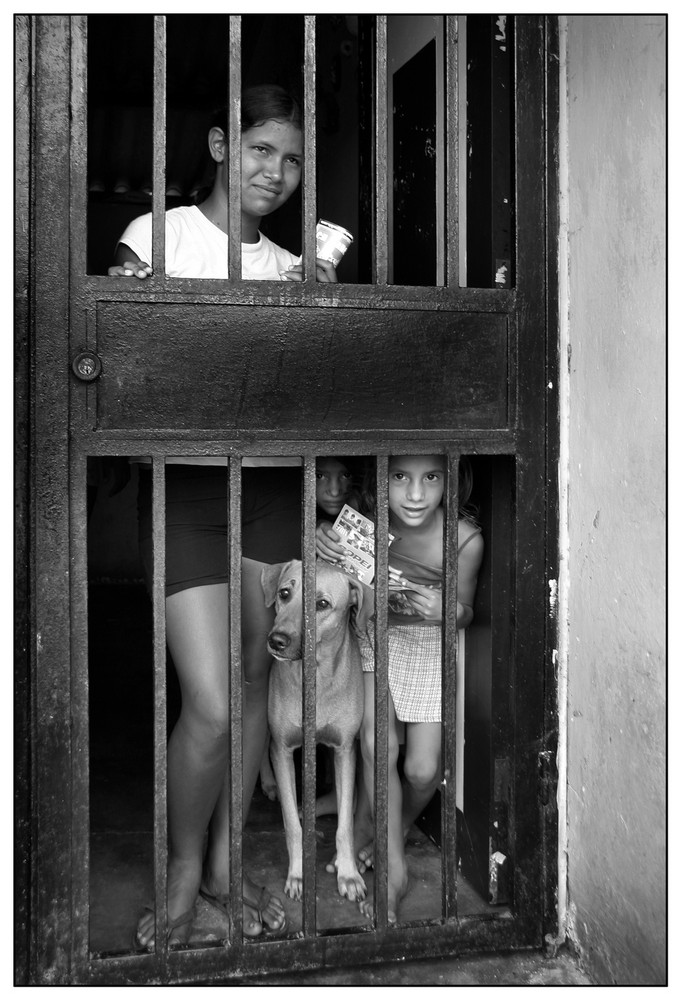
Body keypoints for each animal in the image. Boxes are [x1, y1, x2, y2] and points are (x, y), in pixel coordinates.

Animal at [260, 560, 366, 904]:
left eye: (321, 604)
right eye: (284, 594)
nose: (277, 640)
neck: (316, 674)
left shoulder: (345, 749)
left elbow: (345, 824)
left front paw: (349, 873)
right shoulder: (283, 748)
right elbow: (293, 825)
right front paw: (298, 873)